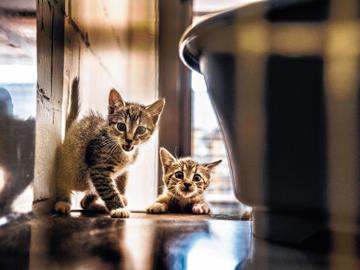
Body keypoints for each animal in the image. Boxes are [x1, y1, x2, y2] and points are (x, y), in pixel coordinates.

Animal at [54, 79, 165, 218]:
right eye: (121, 126)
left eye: (140, 130)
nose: (129, 140)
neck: (122, 151)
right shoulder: (99, 168)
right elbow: (109, 190)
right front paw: (118, 208)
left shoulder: (122, 170)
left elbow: (120, 181)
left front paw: (121, 197)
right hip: (73, 171)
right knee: (64, 180)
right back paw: (63, 202)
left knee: (85, 199)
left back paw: (95, 205)